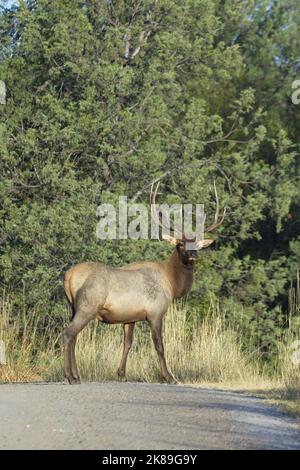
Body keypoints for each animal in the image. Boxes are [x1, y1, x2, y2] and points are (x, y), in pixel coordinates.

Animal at [63, 182, 225, 384]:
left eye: (197, 245)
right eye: (180, 243)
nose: (193, 255)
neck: (172, 284)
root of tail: (68, 276)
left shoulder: (130, 317)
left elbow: (128, 343)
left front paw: (121, 374)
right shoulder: (155, 313)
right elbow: (160, 346)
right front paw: (169, 376)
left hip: (74, 308)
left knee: (74, 336)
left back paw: (76, 375)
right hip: (87, 307)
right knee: (69, 333)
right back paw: (71, 377)